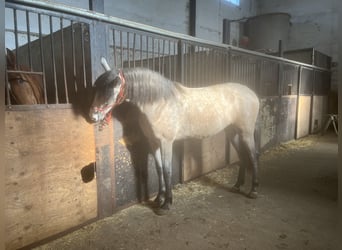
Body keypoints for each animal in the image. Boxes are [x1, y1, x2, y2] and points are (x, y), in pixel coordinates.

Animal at [88, 66, 260, 211]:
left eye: (107, 93)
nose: (92, 117)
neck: (159, 103)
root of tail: (253, 94)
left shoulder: (166, 143)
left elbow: (167, 170)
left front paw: (167, 204)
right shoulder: (153, 142)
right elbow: (158, 169)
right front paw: (159, 198)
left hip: (246, 133)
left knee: (252, 157)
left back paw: (253, 190)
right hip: (232, 132)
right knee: (243, 156)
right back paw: (237, 186)